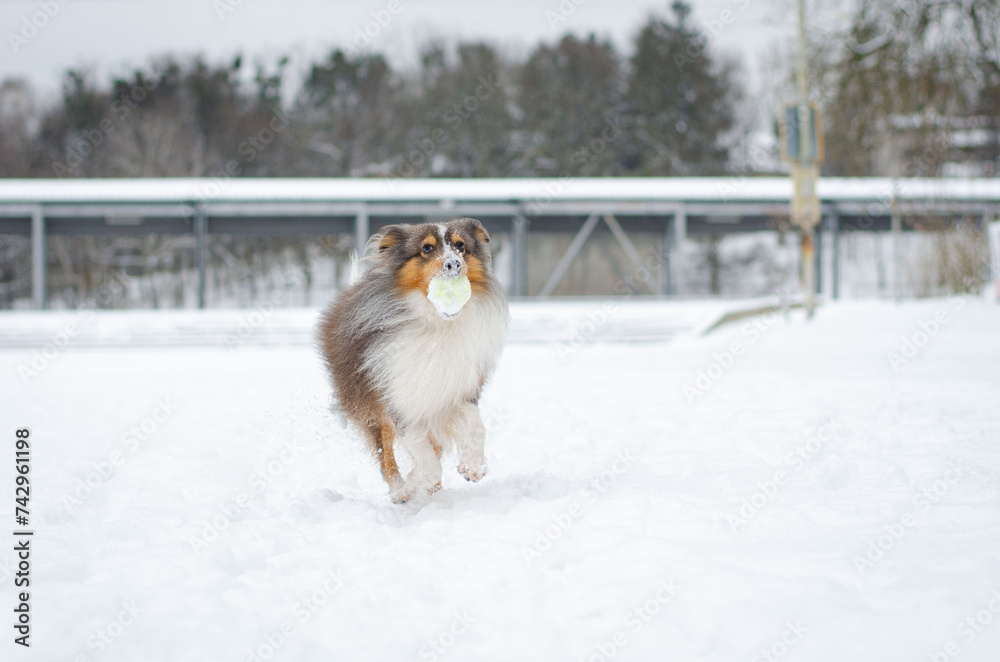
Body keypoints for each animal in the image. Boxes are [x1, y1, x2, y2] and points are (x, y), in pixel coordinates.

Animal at [318, 218, 508, 504]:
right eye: (426, 248)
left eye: (461, 245)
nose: (454, 264)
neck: (437, 325)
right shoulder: (399, 397)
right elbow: (424, 459)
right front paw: (411, 483)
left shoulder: (457, 388)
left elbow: (475, 427)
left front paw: (473, 466)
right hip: (369, 402)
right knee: (386, 455)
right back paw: (400, 490)